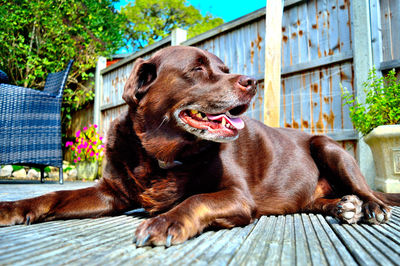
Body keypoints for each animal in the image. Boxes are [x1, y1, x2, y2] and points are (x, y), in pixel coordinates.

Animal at [0, 46, 400, 247]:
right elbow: (54, 196)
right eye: (197, 69)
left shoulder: (237, 196)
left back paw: (370, 207)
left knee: (367, 190)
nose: (251, 81)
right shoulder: (109, 192)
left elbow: (196, 199)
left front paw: (165, 222)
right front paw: (13, 207)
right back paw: (343, 207)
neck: (160, 156)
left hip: (330, 148)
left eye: (224, 68)